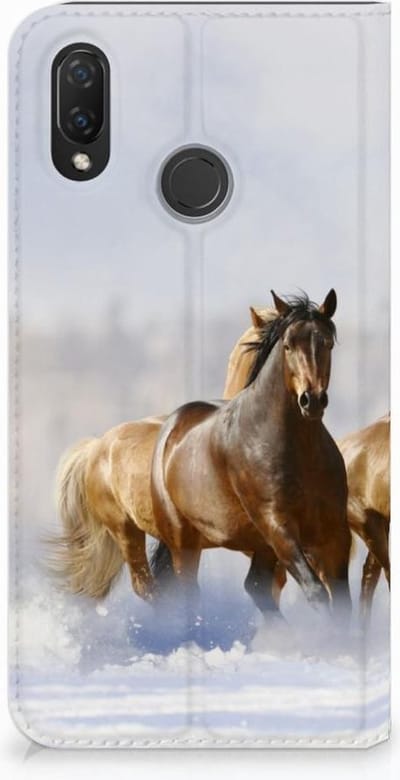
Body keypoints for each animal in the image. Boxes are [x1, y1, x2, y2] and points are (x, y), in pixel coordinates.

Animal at [150, 290, 352, 617]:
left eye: (327, 343)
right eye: (288, 345)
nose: (311, 400)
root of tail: (172, 427)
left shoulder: (334, 532)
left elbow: (343, 602)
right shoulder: (278, 526)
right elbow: (316, 592)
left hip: (259, 546)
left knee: (256, 586)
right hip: (184, 541)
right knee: (189, 593)